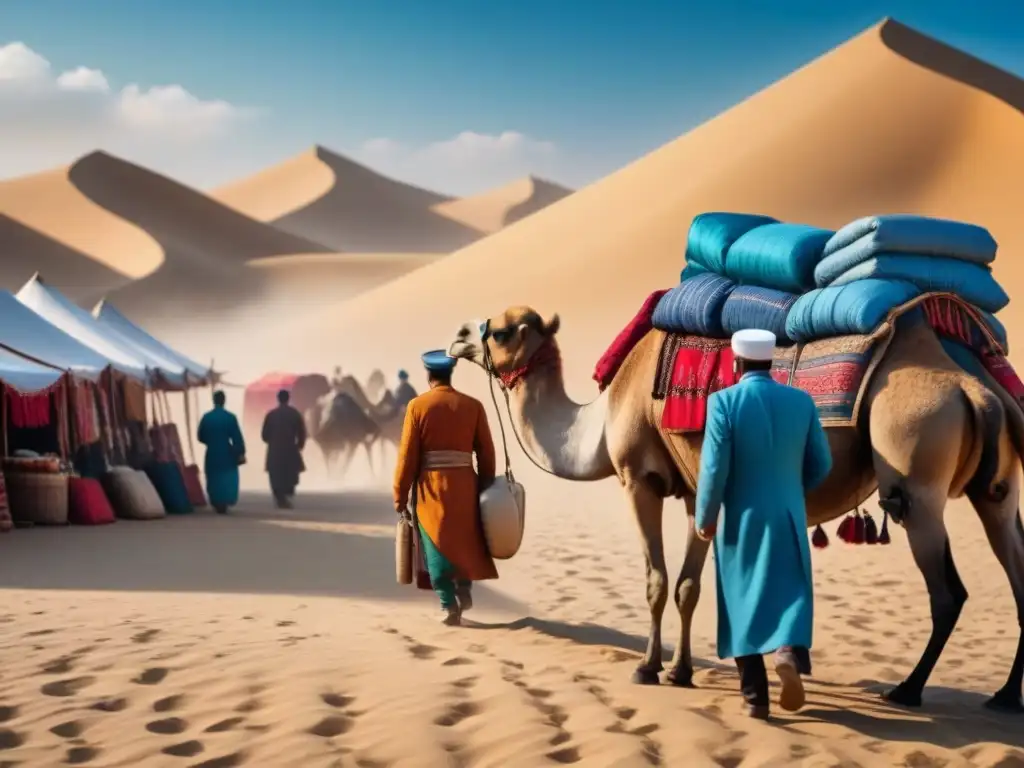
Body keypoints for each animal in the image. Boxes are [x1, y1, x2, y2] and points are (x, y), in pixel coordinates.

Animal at [452, 307, 1024, 716]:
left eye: (500, 330)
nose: (457, 337)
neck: (600, 421)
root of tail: (975, 388)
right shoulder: (696, 489)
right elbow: (688, 586)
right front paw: (681, 671)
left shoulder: (639, 480)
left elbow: (658, 581)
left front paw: (647, 668)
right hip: (998, 489)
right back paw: (1002, 697)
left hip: (917, 478)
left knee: (947, 592)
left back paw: (907, 689)